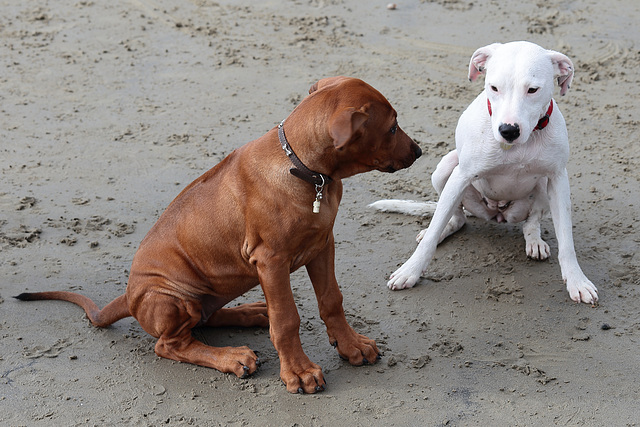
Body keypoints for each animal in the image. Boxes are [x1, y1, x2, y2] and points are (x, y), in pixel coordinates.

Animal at [13, 77, 420, 394]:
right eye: (392, 127)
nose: (418, 151)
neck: (307, 171)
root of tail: (128, 298)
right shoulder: (270, 261)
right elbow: (287, 320)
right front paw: (300, 372)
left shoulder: (322, 245)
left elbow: (332, 299)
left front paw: (351, 345)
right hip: (172, 296)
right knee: (171, 344)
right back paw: (233, 357)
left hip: (211, 291)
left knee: (207, 319)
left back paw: (251, 313)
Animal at [370, 41, 600, 304]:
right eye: (494, 87)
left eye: (533, 90)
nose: (508, 130)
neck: (518, 146)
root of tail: (496, 213)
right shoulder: (461, 176)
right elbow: (431, 236)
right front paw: (410, 271)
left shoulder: (558, 179)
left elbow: (567, 242)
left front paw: (576, 281)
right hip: (447, 168)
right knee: (455, 218)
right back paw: (443, 229)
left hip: (542, 185)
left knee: (531, 221)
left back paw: (534, 240)